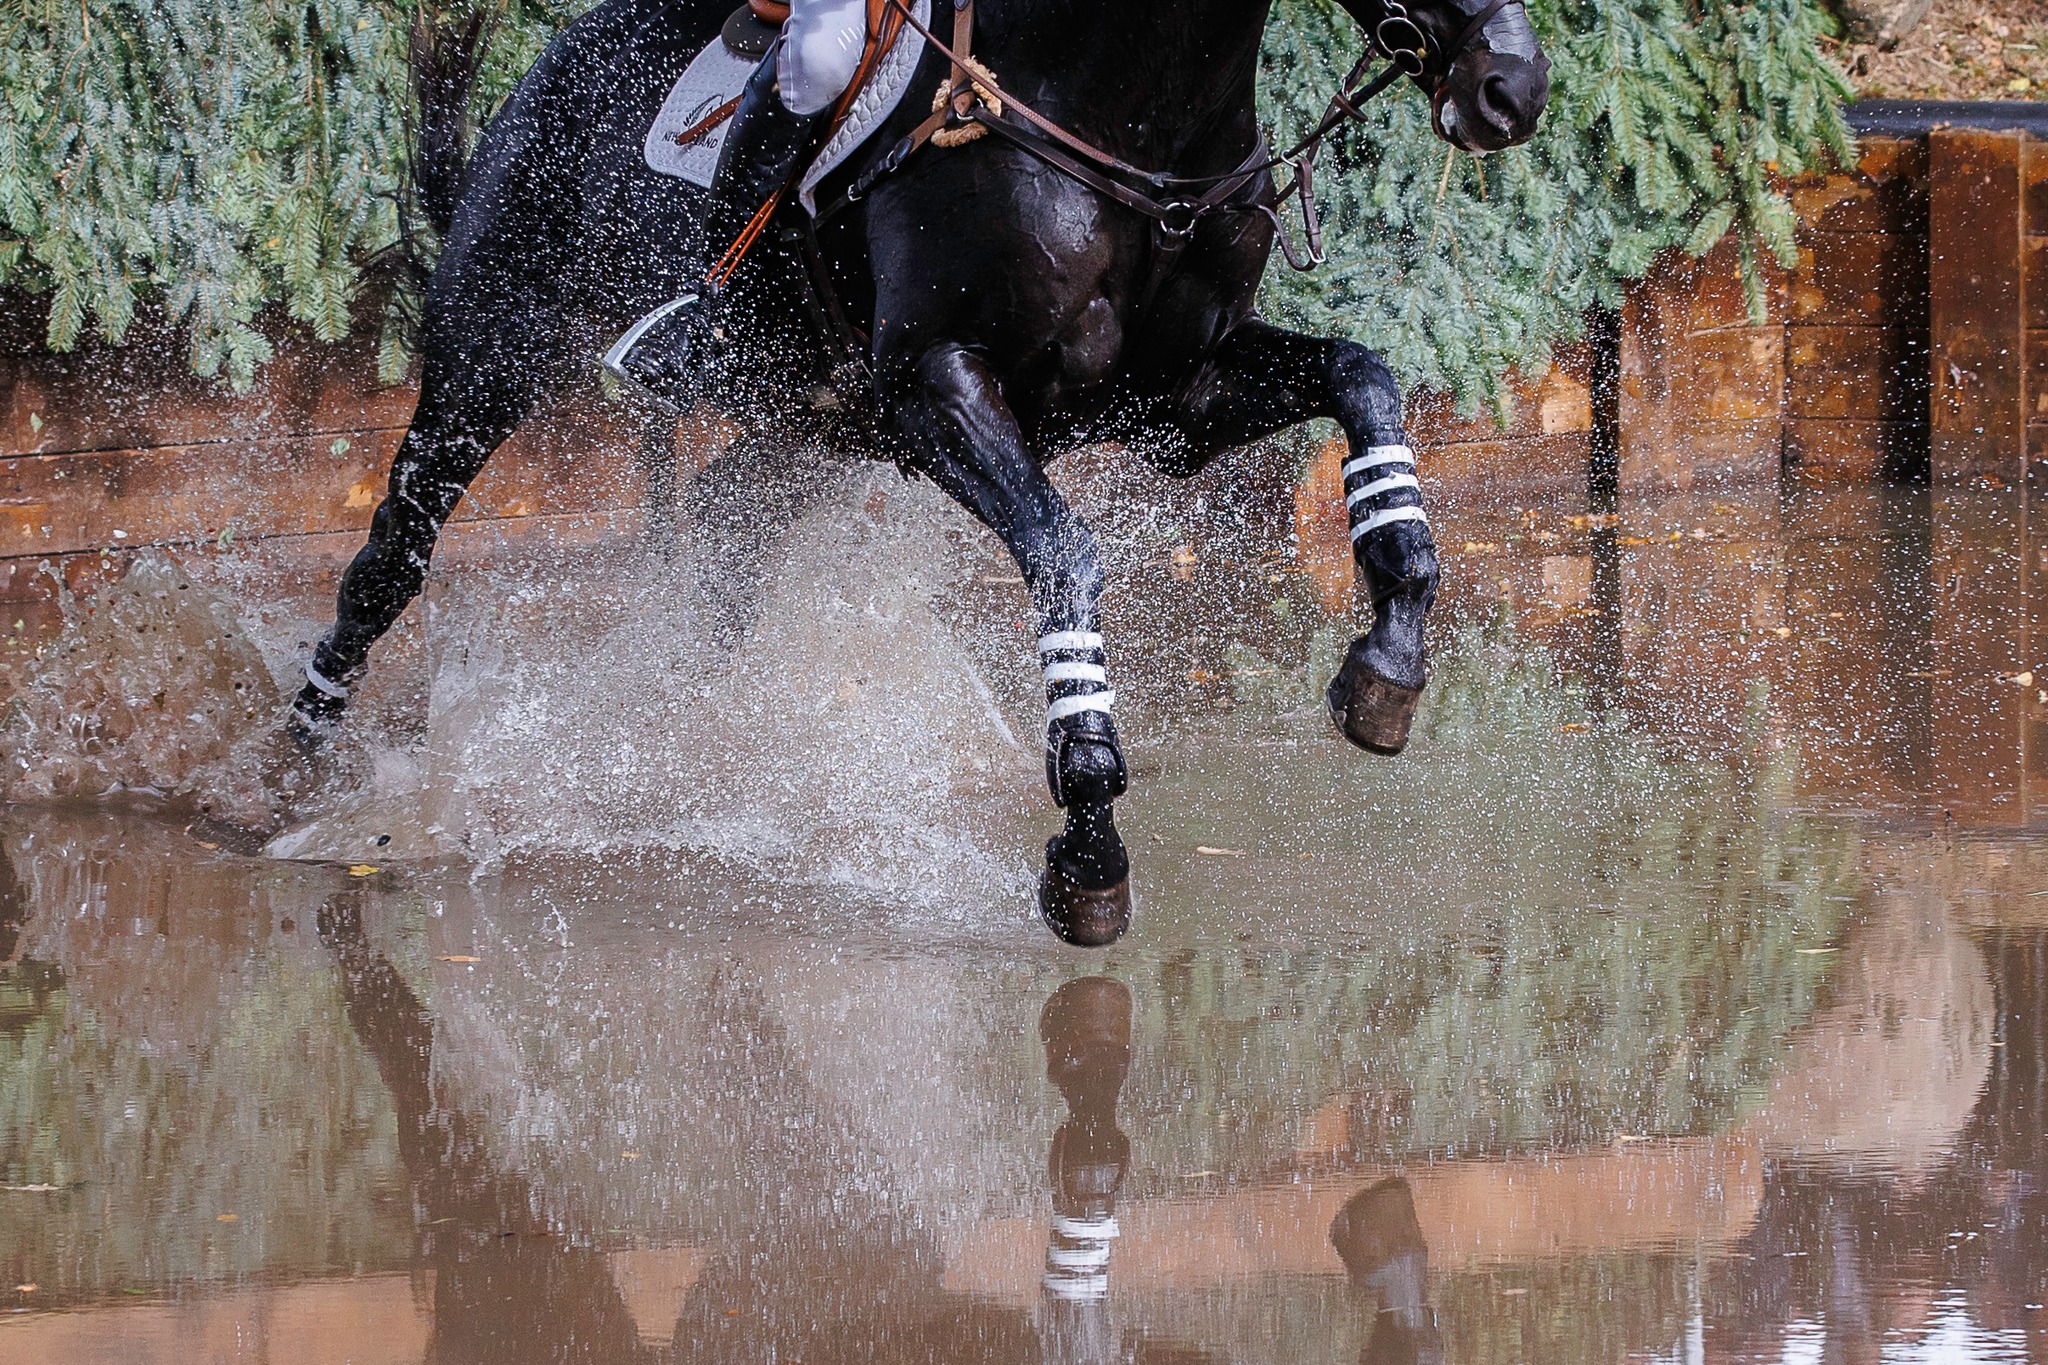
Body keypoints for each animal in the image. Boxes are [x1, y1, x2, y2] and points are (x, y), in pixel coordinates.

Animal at [292, 0, 1548, 945]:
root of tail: (540, 75)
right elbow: (1063, 554)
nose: (1513, 88)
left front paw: (1386, 661)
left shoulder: (1169, 402)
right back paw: (306, 766)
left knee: (721, 535)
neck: (1133, 132)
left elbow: (1362, 377)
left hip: (806, 425)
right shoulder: (938, 385)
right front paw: (1088, 843)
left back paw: (658, 749)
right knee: (388, 563)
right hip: (491, 355)